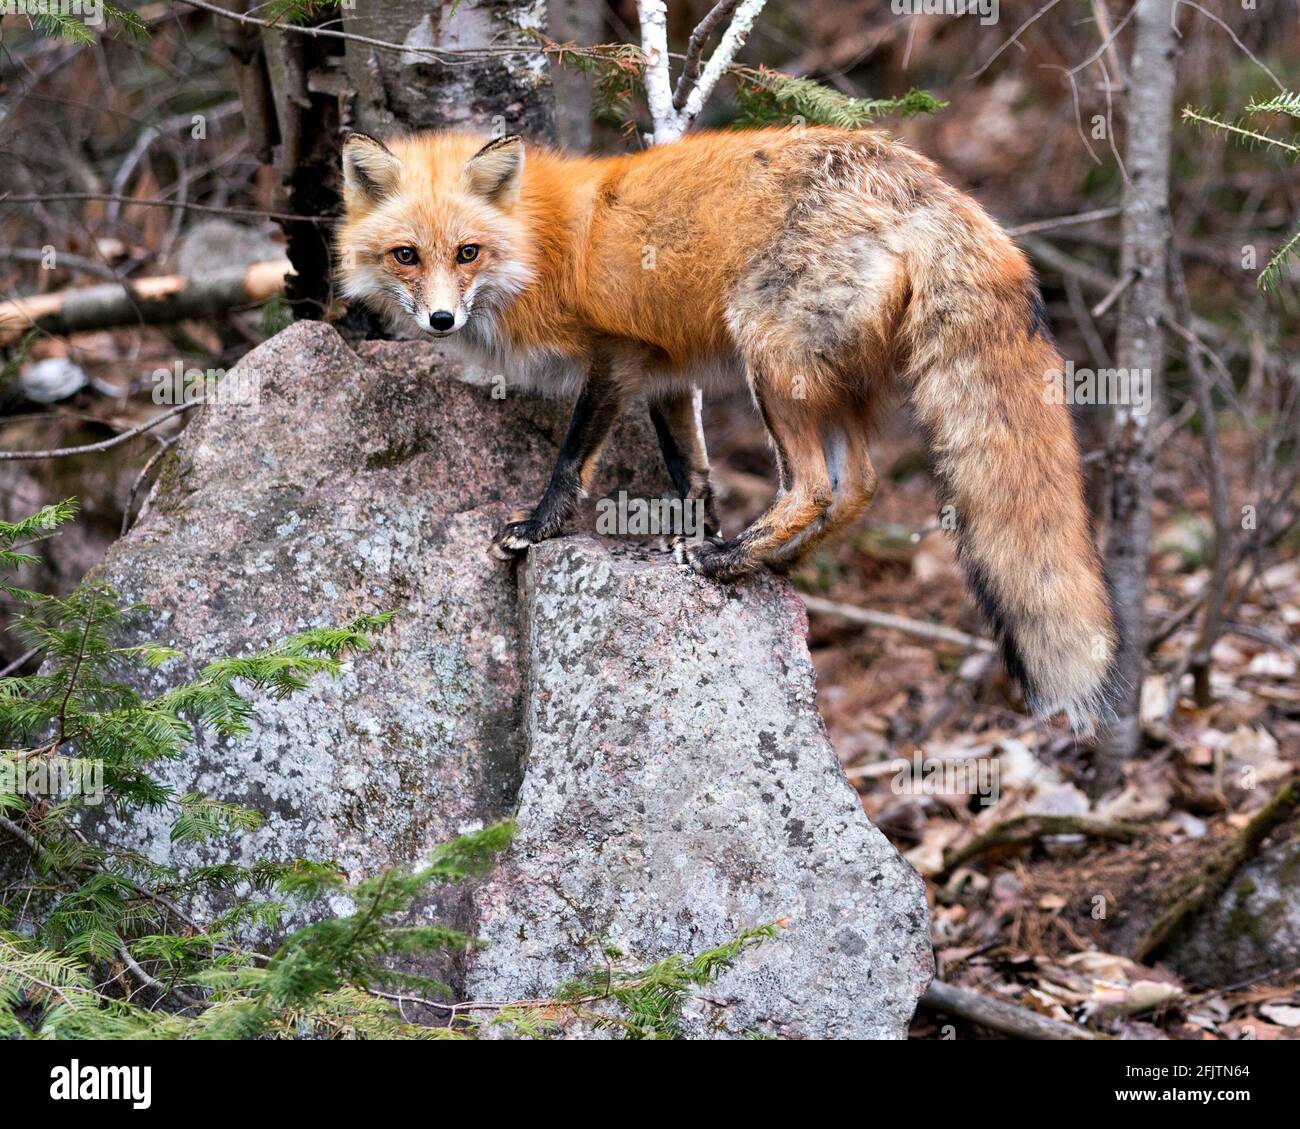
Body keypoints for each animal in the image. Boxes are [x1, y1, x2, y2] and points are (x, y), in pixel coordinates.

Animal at [335, 126, 1117, 732]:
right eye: (406, 254)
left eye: (467, 252)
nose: (441, 320)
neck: (538, 244)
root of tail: (921, 178)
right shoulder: (664, 375)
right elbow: (692, 471)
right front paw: (690, 529)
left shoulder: (614, 358)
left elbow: (571, 459)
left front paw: (540, 526)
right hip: (828, 380)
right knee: (857, 488)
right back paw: (768, 563)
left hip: (767, 354)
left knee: (812, 488)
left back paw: (730, 561)